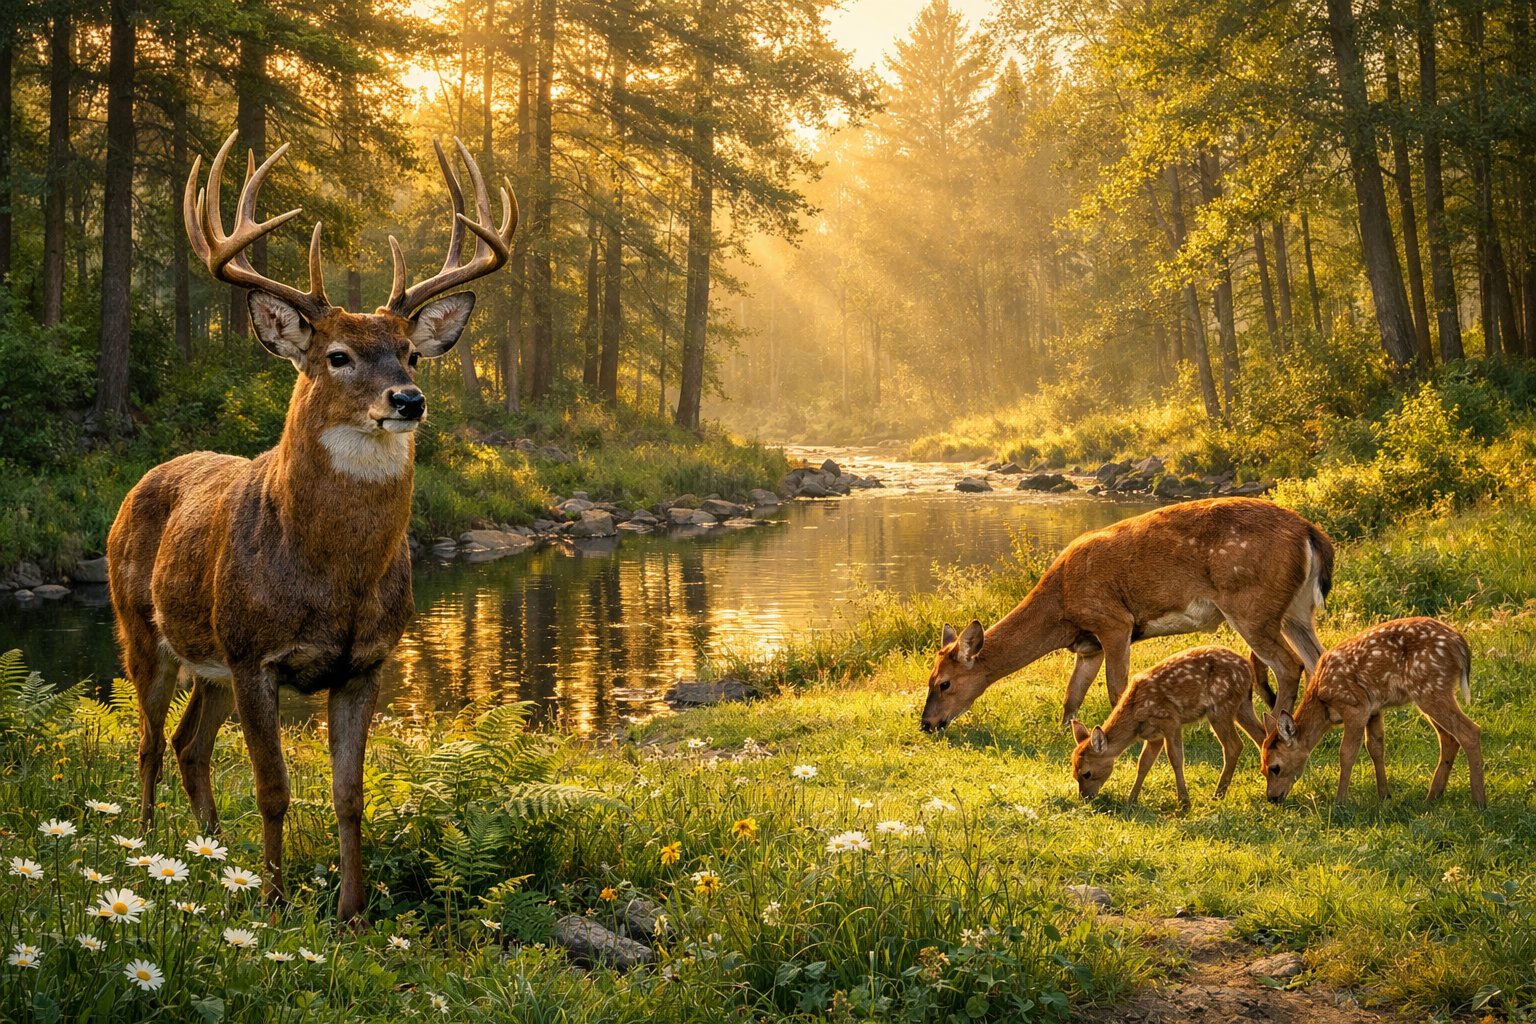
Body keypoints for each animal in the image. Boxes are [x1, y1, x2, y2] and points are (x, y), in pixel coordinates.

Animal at [105, 130, 516, 924]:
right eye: (337, 355)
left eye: (410, 352)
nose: (408, 399)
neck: (333, 577)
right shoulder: (254, 653)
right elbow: (273, 790)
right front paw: (272, 899)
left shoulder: (365, 663)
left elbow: (349, 795)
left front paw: (351, 913)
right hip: (143, 629)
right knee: (146, 741)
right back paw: (143, 842)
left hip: (211, 662)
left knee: (189, 744)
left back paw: (210, 850)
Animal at [920, 498, 1333, 734]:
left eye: (943, 683)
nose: (927, 724)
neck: (1060, 608)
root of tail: (1311, 533)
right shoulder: (1089, 645)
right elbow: (1071, 694)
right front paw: (1066, 733)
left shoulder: (1113, 621)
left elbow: (1117, 687)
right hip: (1295, 609)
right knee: (1318, 658)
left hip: (1251, 604)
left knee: (1290, 664)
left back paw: (1276, 727)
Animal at [1069, 646, 1266, 807]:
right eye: (1073, 773)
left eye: (1086, 773)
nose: (1085, 798)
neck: (1135, 715)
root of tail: (1249, 668)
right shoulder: (1153, 735)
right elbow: (1144, 763)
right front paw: (1131, 800)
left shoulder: (1170, 720)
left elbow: (1176, 758)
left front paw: (1184, 802)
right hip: (1242, 705)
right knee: (1262, 736)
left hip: (1220, 707)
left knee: (1234, 746)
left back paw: (1218, 794)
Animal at [1260, 617, 1485, 808]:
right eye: (1262, 768)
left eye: (1275, 767)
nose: (1272, 798)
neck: (1323, 704)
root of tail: (1460, 644)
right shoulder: (1374, 709)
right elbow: (1375, 748)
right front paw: (1384, 795)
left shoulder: (1355, 707)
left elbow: (1347, 753)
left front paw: (1340, 801)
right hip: (1431, 692)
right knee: (1449, 738)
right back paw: (1431, 798)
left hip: (1430, 688)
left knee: (1470, 731)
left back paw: (1479, 802)